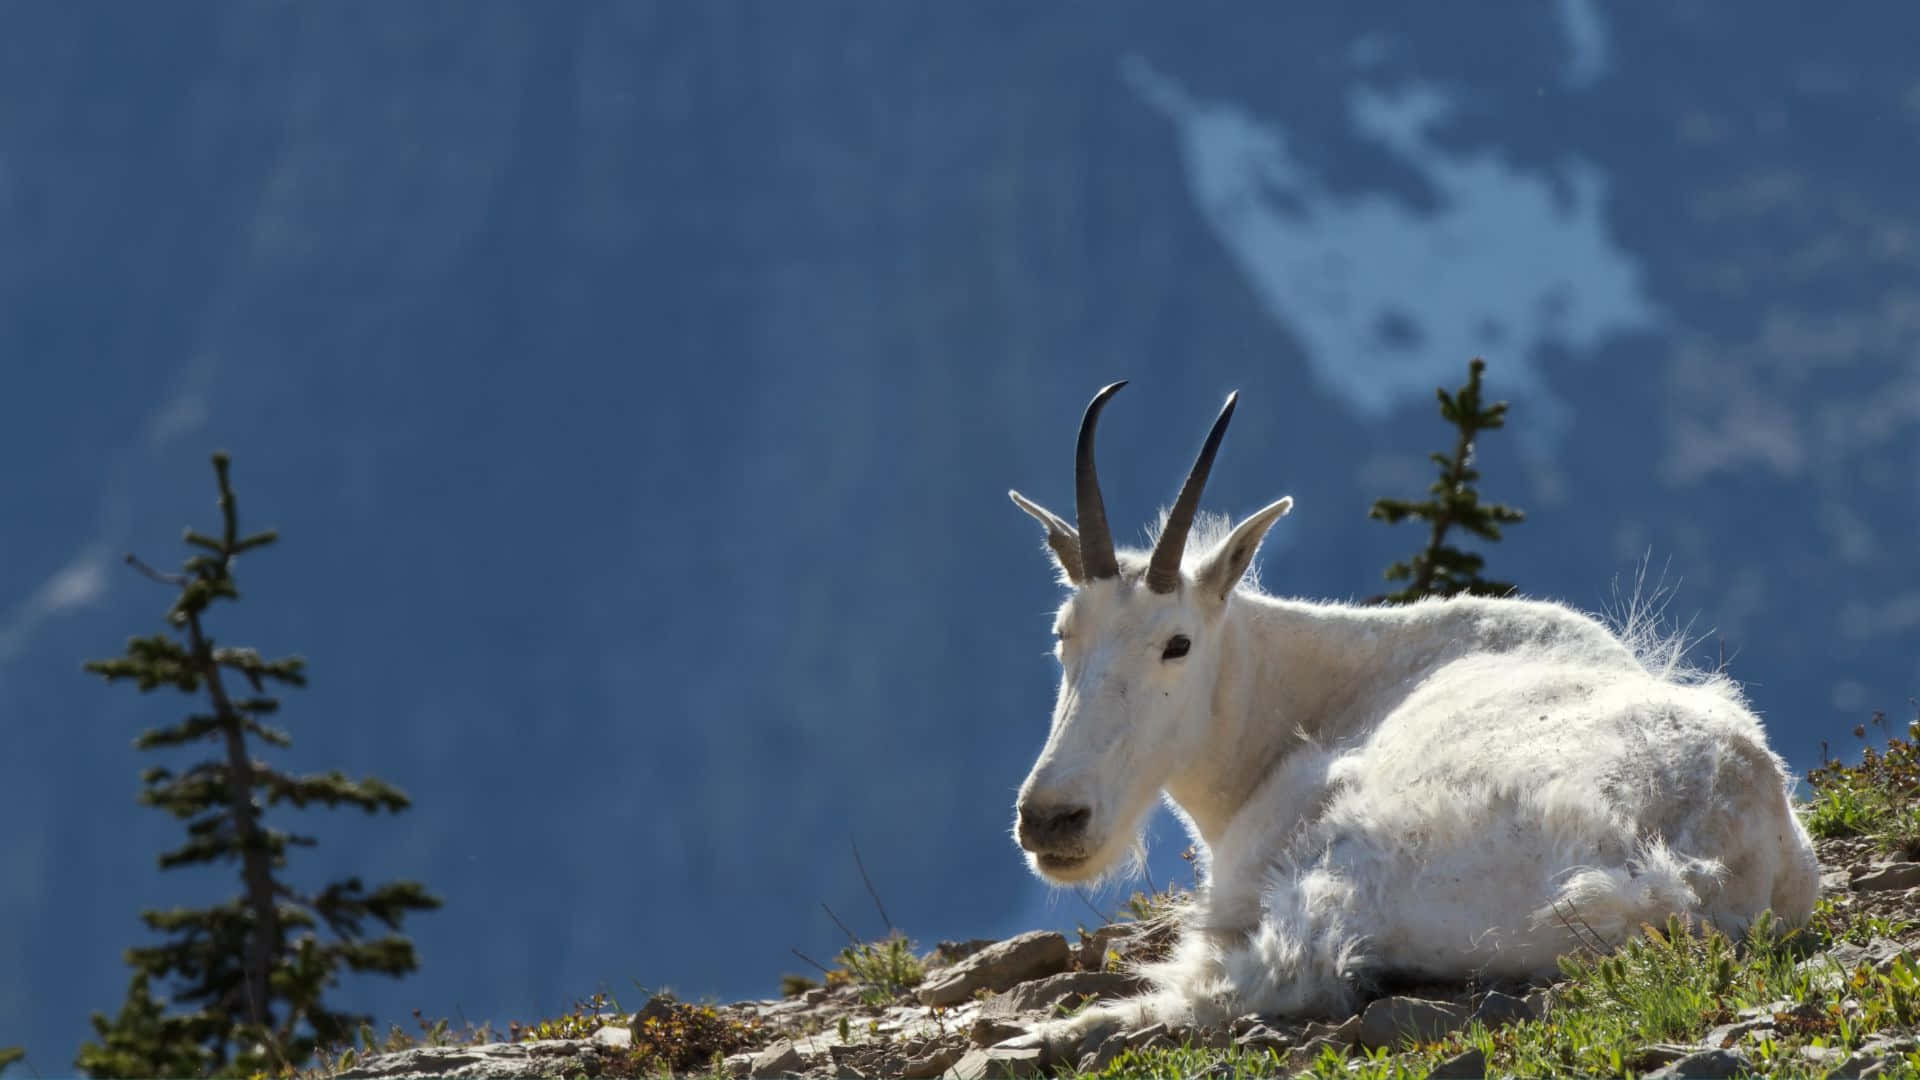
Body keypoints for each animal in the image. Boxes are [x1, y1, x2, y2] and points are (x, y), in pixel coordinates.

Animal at [1004, 382, 1819, 1054]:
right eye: (1062, 633)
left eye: (1177, 643)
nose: (1051, 819)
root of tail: (1690, 871)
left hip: (1358, 871)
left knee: (1274, 974)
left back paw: (1062, 1031)